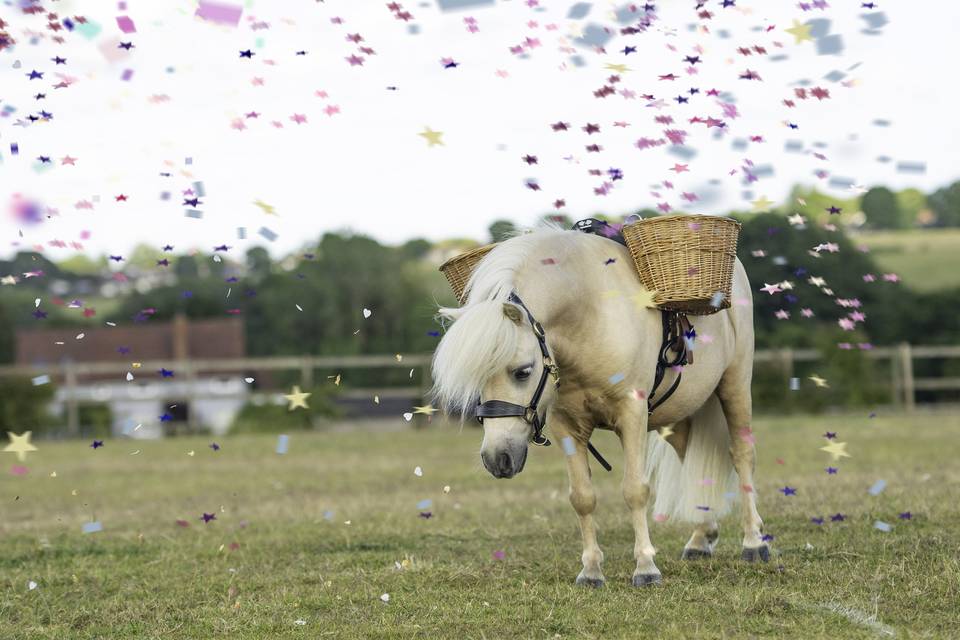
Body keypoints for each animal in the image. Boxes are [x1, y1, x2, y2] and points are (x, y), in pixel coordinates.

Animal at [432, 228, 768, 588]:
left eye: (522, 371)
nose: (498, 459)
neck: (589, 319)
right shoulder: (566, 425)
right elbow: (582, 497)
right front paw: (591, 571)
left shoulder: (632, 414)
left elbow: (635, 490)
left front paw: (646, 567)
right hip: (679, 411)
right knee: (690, 457)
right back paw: (701, 538)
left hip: (735, 385)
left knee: (742, 454)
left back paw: (754, 542)